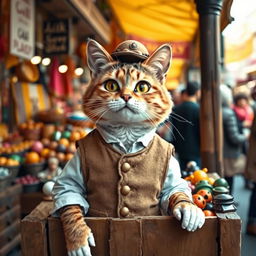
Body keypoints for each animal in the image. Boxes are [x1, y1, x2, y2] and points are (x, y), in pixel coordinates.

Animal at [52, 39, 206, 255]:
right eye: (110, 85)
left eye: (142, 87)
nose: (125, 96)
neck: (126, 136)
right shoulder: (71, 174)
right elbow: (69, 199)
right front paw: (78, 240)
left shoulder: (172, 172)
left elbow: (176, 189)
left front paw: (189, 208)